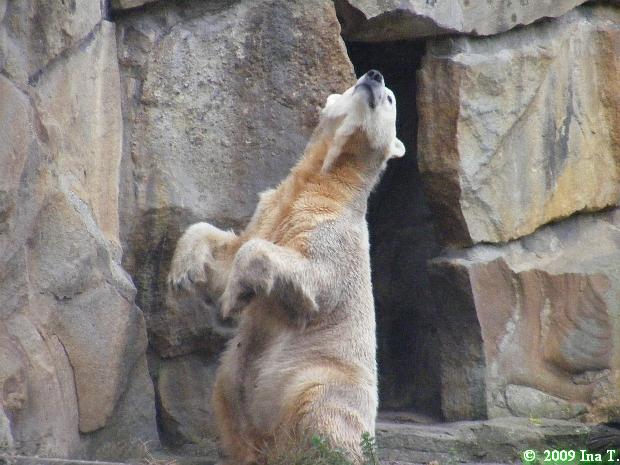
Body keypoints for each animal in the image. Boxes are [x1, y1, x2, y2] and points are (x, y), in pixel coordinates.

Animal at [168, 69, 405, 464]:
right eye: (355, 81)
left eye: (390, 98)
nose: (374, 75)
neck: (323, 185)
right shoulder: (272, 207)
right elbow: (229, 248)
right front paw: (181, 273)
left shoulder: (335, 236)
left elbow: (307, 274)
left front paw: (235, 297)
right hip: (229, 381)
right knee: (228, 401)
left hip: (323, 379)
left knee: (323, 413)